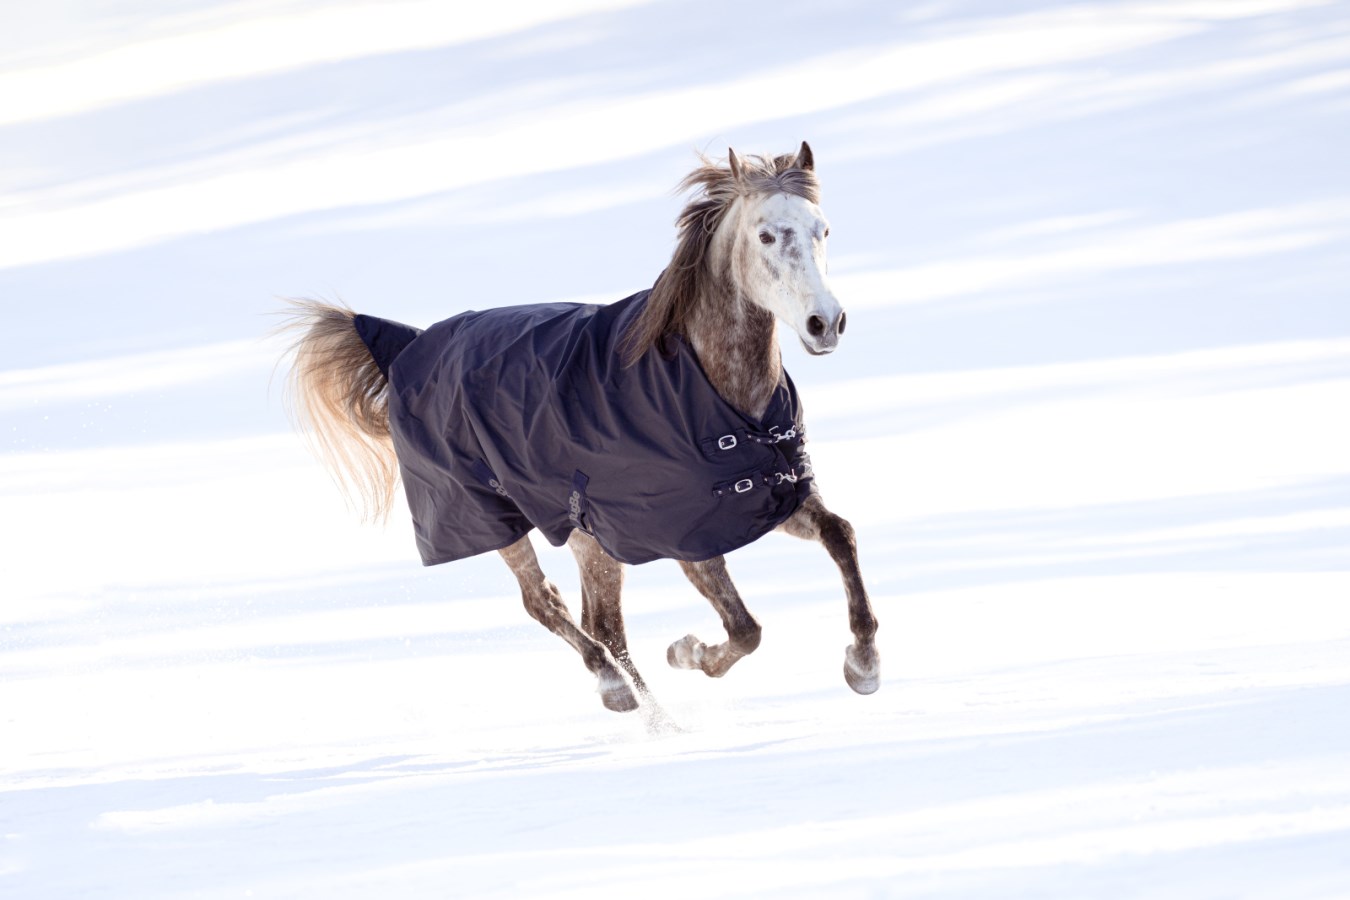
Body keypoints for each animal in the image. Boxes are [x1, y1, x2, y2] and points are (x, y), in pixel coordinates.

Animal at [282, 142, 879, 717]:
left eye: (824, 229)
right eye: (765, 234)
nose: (826, 323)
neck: (719, 397)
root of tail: (408, 349)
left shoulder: (774, 496)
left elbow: (842, 534)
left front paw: (863, 664)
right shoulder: (689, 538)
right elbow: (745, 630)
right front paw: (688, 652)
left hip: (587, 535)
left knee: (604, 624)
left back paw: (656, 720)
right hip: (494, 520)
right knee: (548, 604)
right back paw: (623, 695)